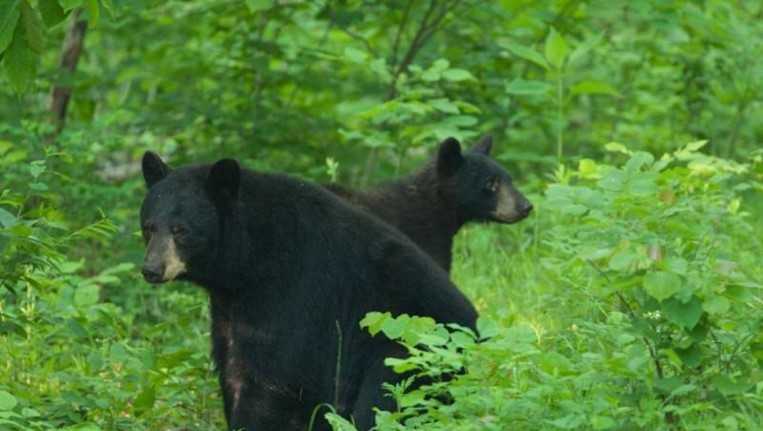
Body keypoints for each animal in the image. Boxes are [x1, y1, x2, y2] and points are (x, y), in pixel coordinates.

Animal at [137, 154, 478, 431]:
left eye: (181, 230)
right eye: (149, 226)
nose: (151, 269)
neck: (250, 259)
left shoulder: (294, 290)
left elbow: (273, 377)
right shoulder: (229, 309)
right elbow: (231, 367)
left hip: (412, 348)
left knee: (382, 400)